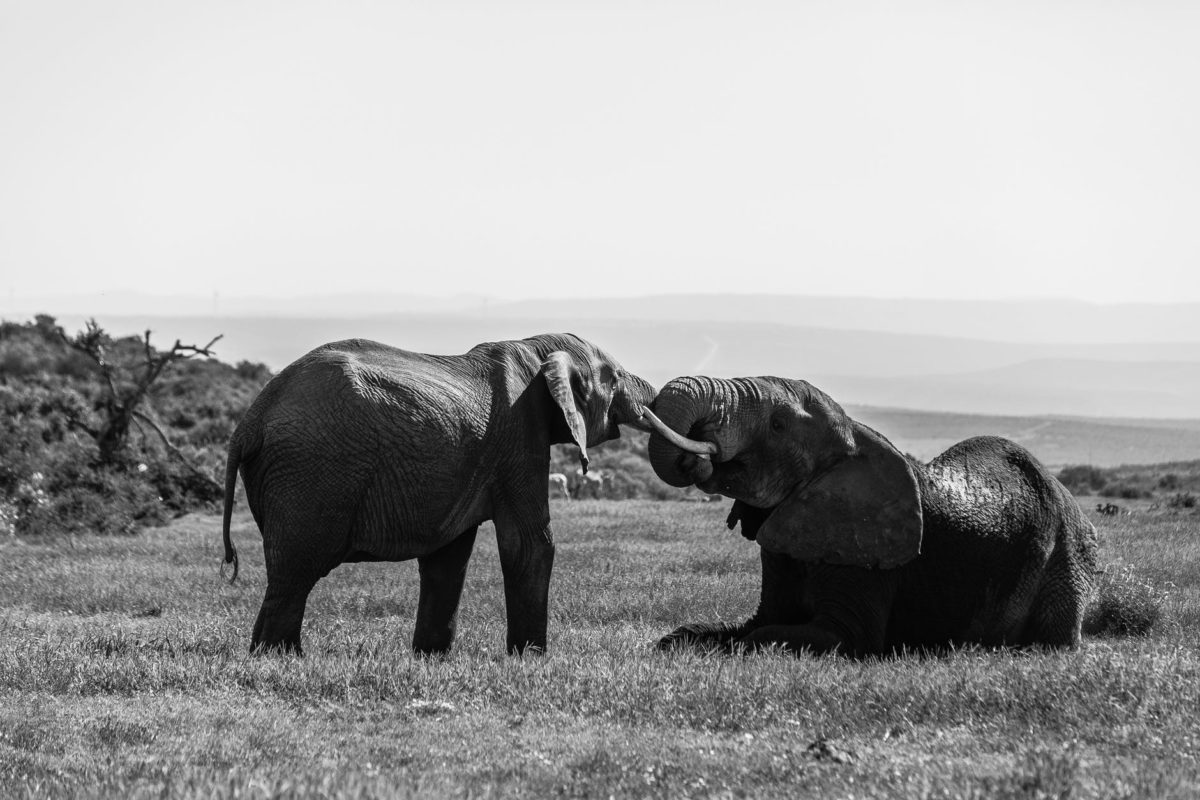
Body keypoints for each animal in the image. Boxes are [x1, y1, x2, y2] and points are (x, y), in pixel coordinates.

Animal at [223, 335, 657, 652]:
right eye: (616, 377)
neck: (539, 349)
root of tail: (250, 420)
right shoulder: (520, 437)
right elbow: (530, 544)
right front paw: (531, 660)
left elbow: (449, 558)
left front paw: (431, 658)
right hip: (314, 472)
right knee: (296, 574)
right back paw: (282, 659)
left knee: (288, 573)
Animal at [643, 376, 1099, 657]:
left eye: (777, 425)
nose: (696, 454)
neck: (854, 437)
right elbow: (750, 623)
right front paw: (679, 640)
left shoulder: (866, 554)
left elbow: (811, 635)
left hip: (1067, 557)